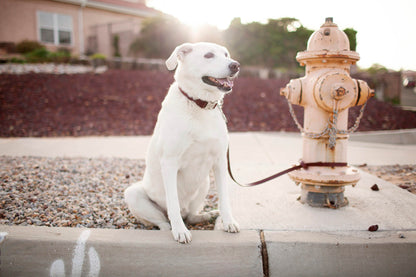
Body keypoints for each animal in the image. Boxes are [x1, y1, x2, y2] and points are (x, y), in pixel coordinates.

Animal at [123, 42, 240, 243]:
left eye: (226, 54)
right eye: (209, 55)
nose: (235, 65)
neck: (199, 104)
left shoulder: (219, 162)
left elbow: (224, 198)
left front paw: (228, 222)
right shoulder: (169, 163)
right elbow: (173, 203)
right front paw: (180, 230)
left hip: (204, 183)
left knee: (190, 216)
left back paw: (206, 215)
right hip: (133, 194)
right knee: (163, 220)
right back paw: (171, 227)